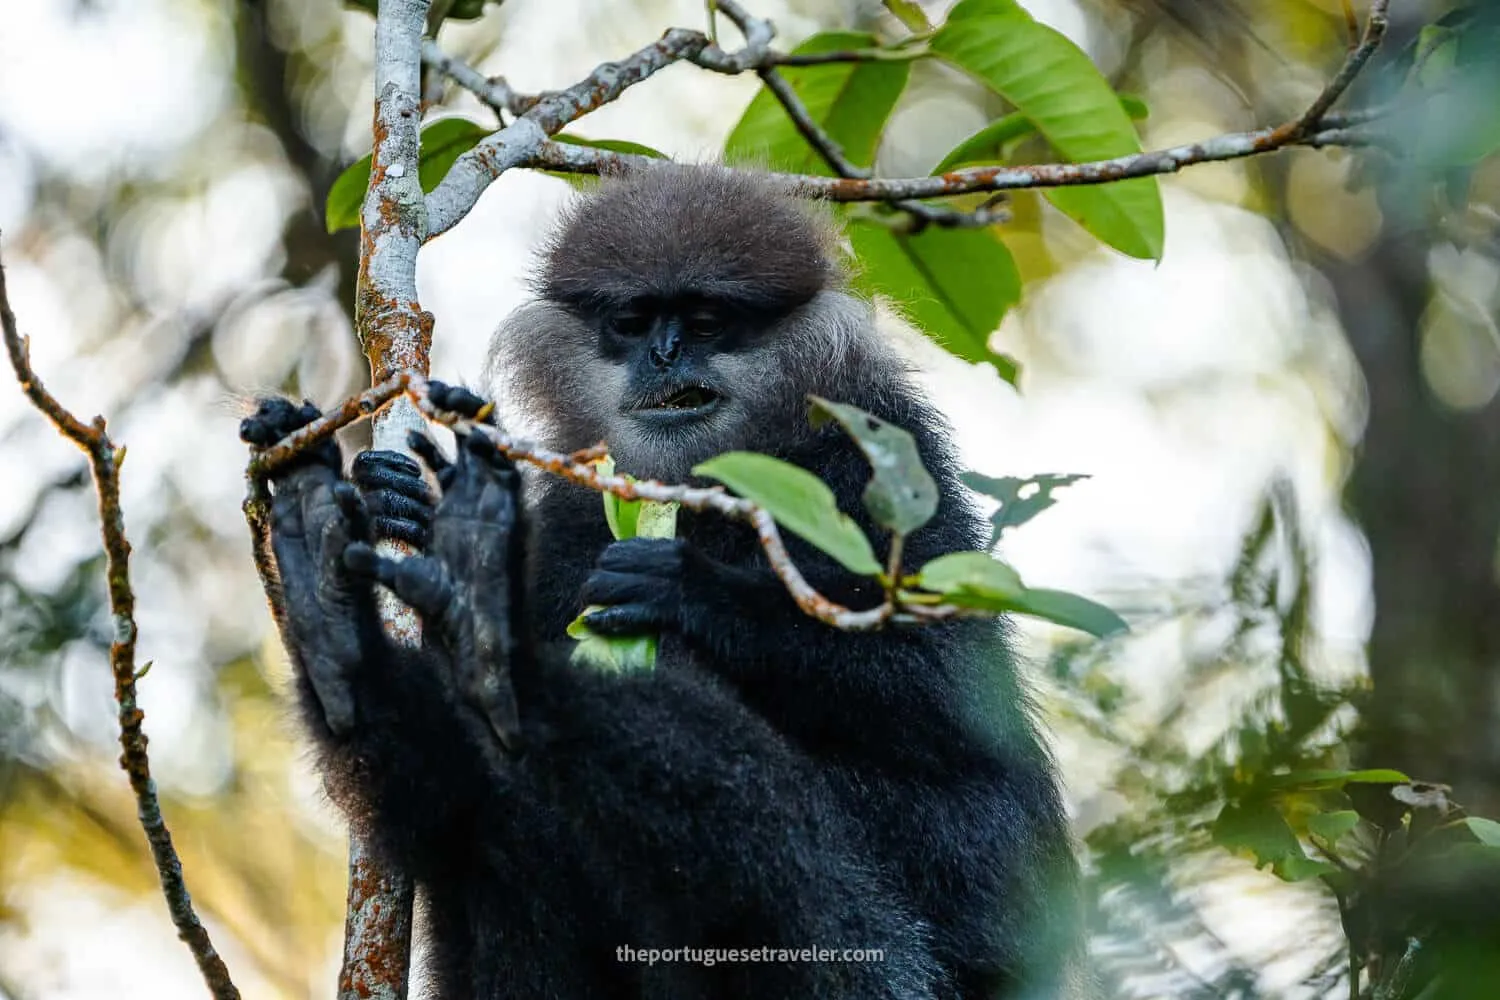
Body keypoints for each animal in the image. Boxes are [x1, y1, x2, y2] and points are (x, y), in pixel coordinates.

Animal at [243, 164, 1081, 999]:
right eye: (635, 320)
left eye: (706, 321)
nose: (668, 355)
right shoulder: (574, 509)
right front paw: (409, 513)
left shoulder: (873, 454)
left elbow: (955, 692)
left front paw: (686, 588)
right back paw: (346, 613)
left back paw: (508, 654)